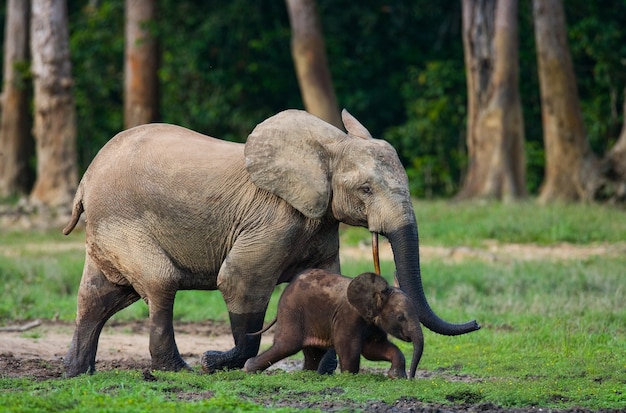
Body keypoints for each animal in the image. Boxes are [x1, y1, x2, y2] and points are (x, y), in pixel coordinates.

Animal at [241, 268, 422, 378]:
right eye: (400, 317)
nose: (412, 379)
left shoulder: (372, 321)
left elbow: (373, 349)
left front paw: (396, 376)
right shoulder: (348, 317)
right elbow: (350, 349)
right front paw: (350, 377)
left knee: (313, 354)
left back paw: (307, 375)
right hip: (291, 311)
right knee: (288, 344)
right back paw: (248, 369)